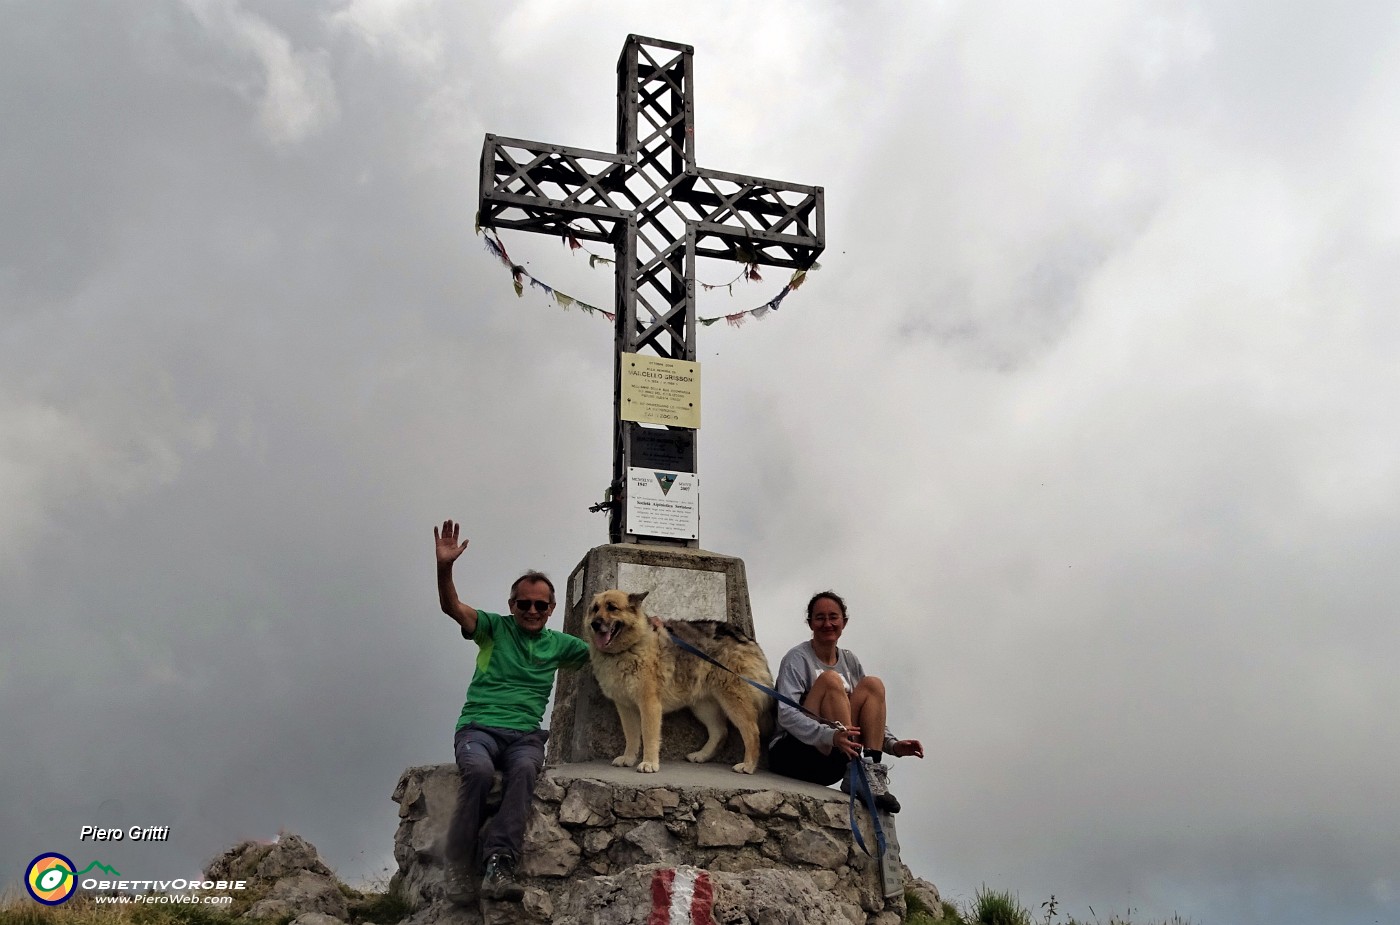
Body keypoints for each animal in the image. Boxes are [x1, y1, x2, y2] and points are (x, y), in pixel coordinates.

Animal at [582, 590, 778, 772]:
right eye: (594, 609)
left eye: (612, 607)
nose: (595, 624)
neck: (628, 648)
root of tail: (745, 637)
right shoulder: (625, 708)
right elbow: (631, 736)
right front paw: (628, 758)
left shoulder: (649, 705)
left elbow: (649, 735)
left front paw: (649, 763)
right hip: (703, 706)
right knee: (720, 732)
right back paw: (702, 755)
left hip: (733, 701)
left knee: (752, 731)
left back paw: (748, 765)